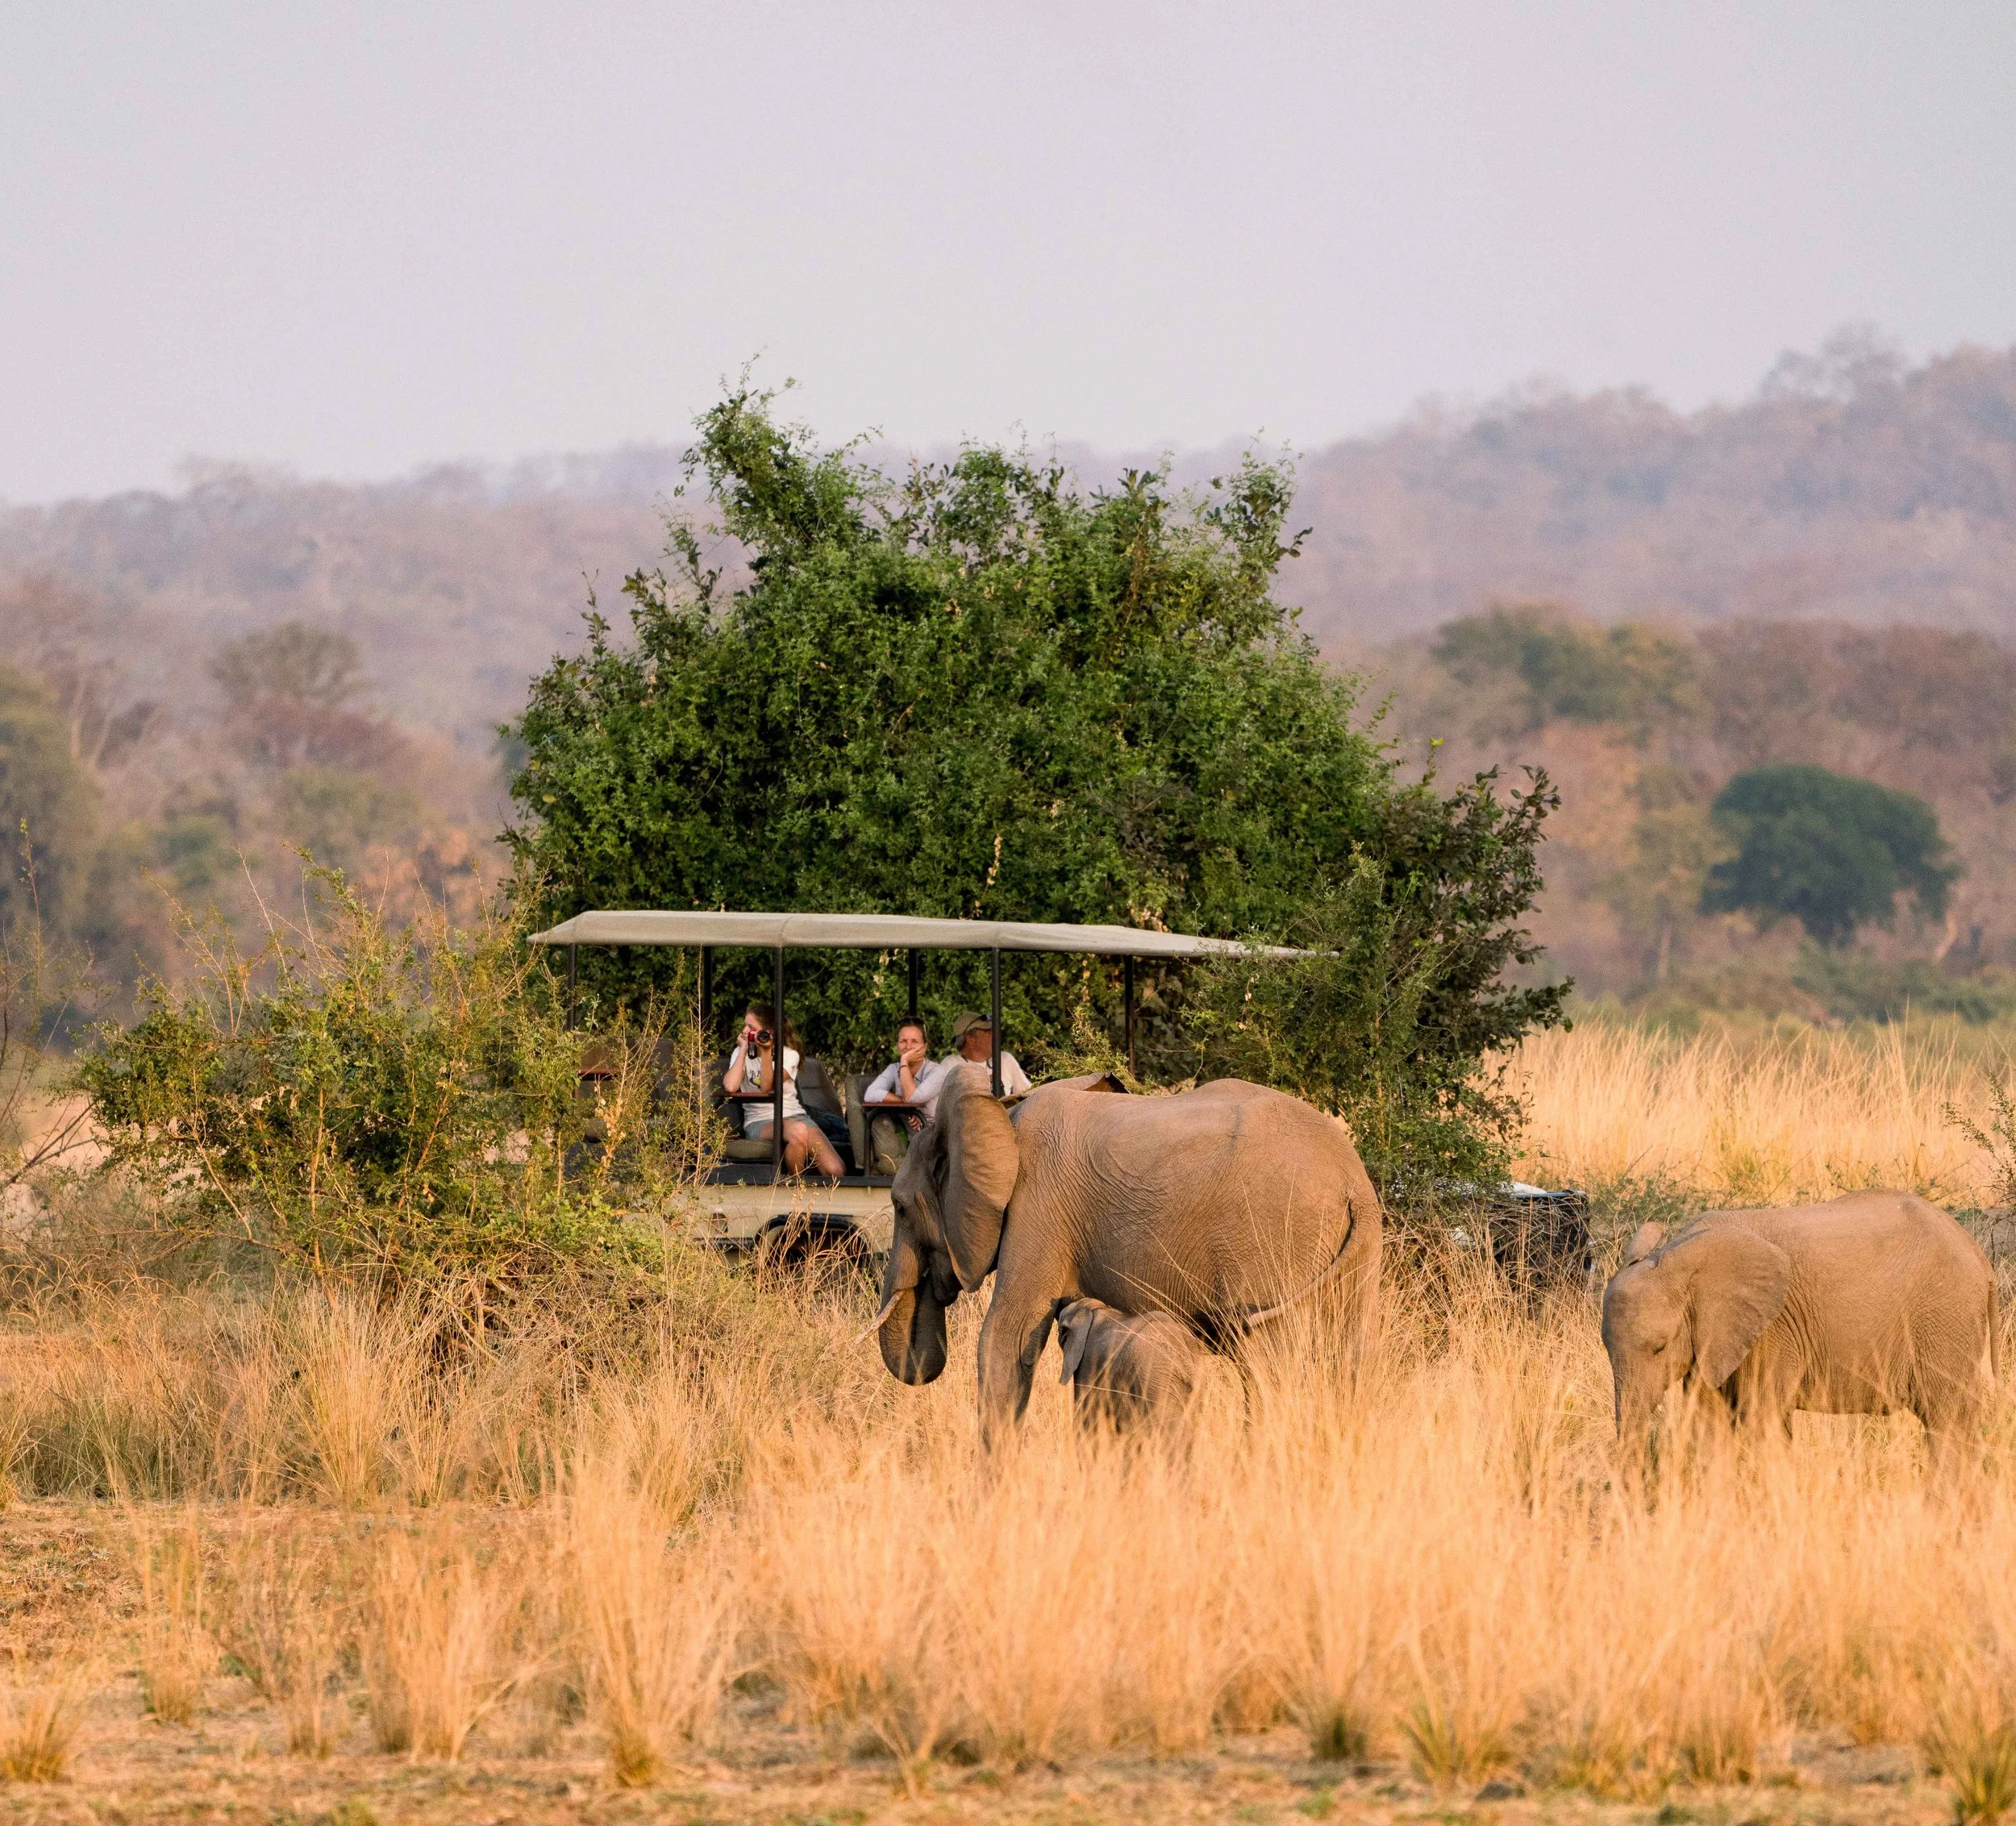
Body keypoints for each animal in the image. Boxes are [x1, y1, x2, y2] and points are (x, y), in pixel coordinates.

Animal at [1600, 1190, 1998, 1462]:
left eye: (1660, 1347)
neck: (1674, 1254)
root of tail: (1980, 1255)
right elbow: (1708, 1423)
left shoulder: (1772, 1330)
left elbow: (1762, 1420)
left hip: (1945, 1318)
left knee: (1947, 1419)